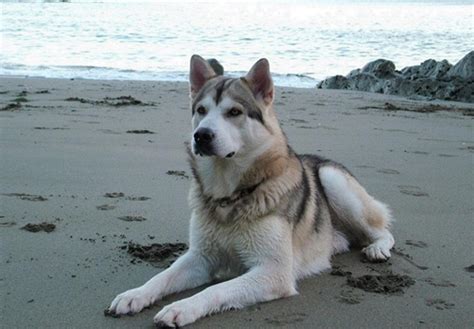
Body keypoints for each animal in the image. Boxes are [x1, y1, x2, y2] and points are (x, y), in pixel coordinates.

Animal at [108, 53, 396, 326]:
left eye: (234, 112)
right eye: (201, 110)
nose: (201, 135)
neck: (228, 196)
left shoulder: (273, 272)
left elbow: (215, 290)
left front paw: (181, 308)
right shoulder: (200, 257)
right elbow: (163, 276)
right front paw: (135, 294)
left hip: (333, 180)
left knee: (384, 231)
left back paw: (378, 249)